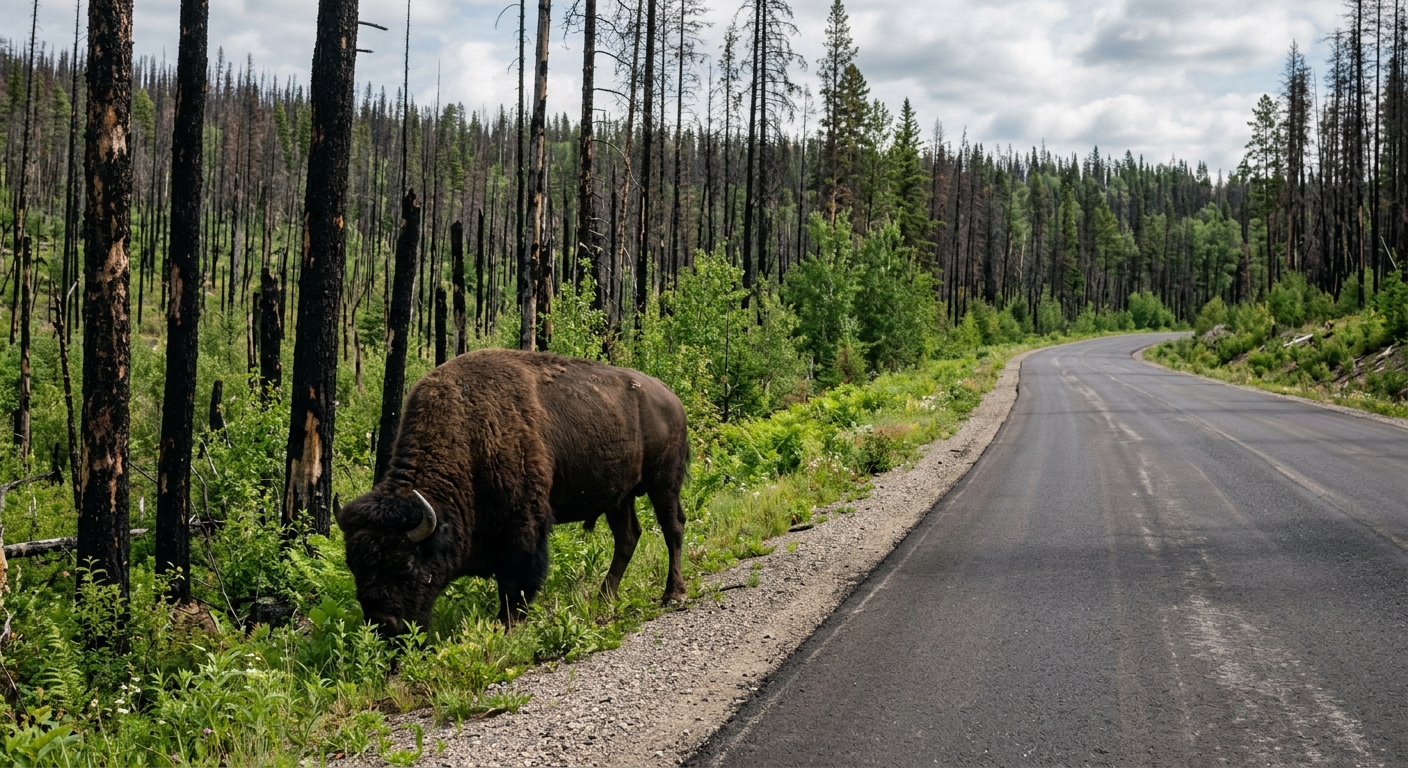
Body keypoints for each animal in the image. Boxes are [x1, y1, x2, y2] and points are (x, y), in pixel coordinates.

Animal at [336, 348, 689, 637]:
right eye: (355, 567)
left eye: (405, 564)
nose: (384, 625)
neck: (466, 439)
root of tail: (671, 398)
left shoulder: (524, 527)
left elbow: (515, 583)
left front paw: (507, 627)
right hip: (619, 496)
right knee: (628, 537)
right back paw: (604, 597)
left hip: (663, 482)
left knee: (672, 528)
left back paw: (673, 594)